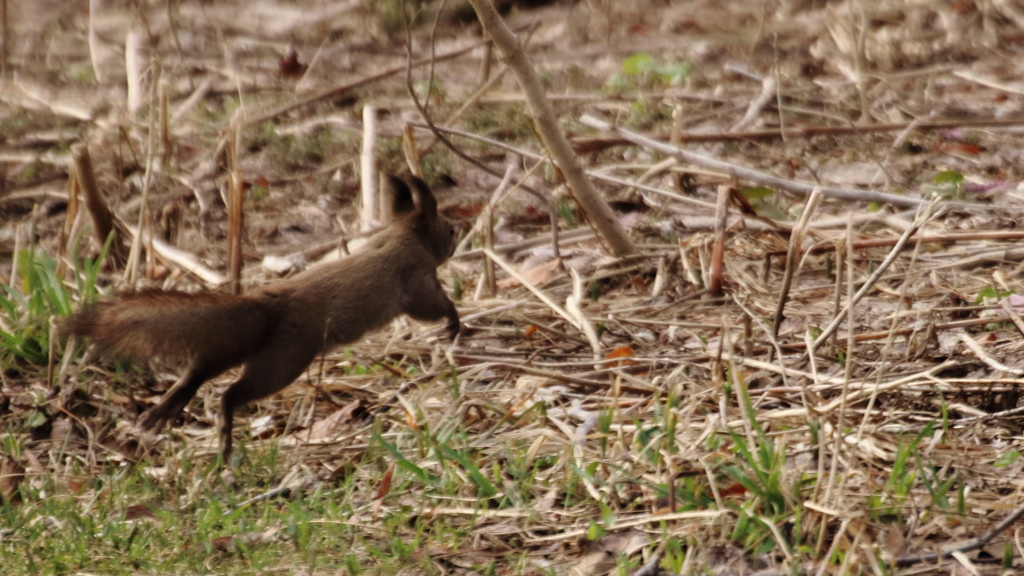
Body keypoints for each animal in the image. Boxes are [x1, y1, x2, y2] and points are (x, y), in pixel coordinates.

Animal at [70, 174, 458, 461]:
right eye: (450, 228)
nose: (457, 237)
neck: (400, 236)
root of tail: (264, 306)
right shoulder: (413, 278)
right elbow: (431, 306)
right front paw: (454, 323)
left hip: (236, 345)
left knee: (199, 373)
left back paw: (165, 411)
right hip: (285, 358)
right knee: (232, 392)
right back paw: (222, 434)